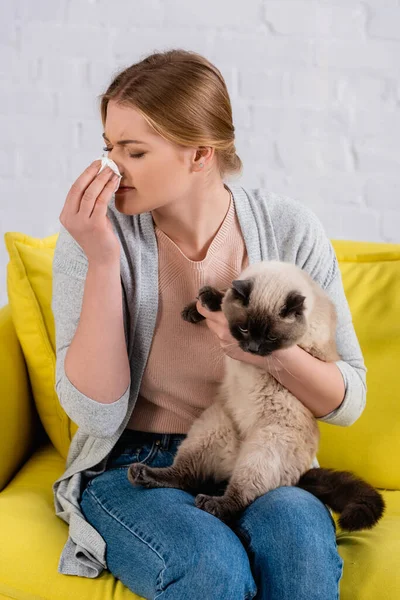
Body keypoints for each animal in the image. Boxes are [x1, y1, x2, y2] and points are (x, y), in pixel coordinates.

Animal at [128, 260, 384, 532]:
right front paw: (198, 305)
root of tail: (237, 456)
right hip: (212, 427)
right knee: (185, 475)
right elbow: (224, 296)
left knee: (238, 494)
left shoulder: (306, 350)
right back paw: (142, 475)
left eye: (271, 337)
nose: (252, 349)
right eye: (244, 328)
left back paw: (212, 504)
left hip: (263, 447)